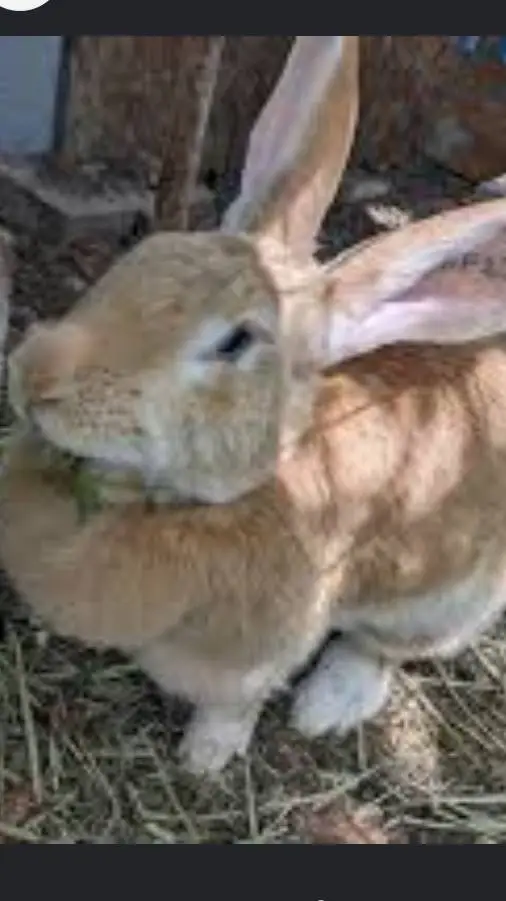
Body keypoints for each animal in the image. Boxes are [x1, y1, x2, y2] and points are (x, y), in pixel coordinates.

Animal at [4, 36, 506, 775]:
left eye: (236, 342)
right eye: (145, 253)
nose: (34, 376)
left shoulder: (255, 653)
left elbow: (236, 700)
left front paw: (205, 757)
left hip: (444, 602)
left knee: (384, 648)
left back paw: (327, 705)